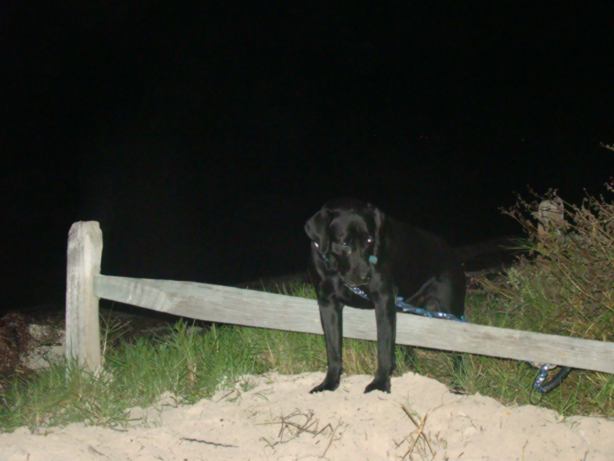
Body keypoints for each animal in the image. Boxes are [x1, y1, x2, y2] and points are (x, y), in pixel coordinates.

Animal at [305, 198, 465, 393]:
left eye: (369, 239)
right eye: (344, 243)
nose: (366, 276)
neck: (336, 270)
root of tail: (451, 252)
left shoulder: (383, 299)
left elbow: (384, 346)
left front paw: (380, 384)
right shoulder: (327, 303)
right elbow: (333, 348)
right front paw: (329, 383)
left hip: (450, 312)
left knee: (458, 351)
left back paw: (458, 383)